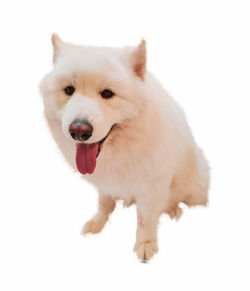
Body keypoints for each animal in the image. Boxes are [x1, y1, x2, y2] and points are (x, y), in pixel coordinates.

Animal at [40, 34, 210, 262]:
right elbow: (104, 203)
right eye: (69, 90)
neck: (118, 150)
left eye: (107, 94)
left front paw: (145, 245)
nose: (79, 130)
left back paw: (174, 209)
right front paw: (97, 223)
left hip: (195, 185)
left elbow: (145, 219)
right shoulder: (105, 181)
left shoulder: (151, 186)